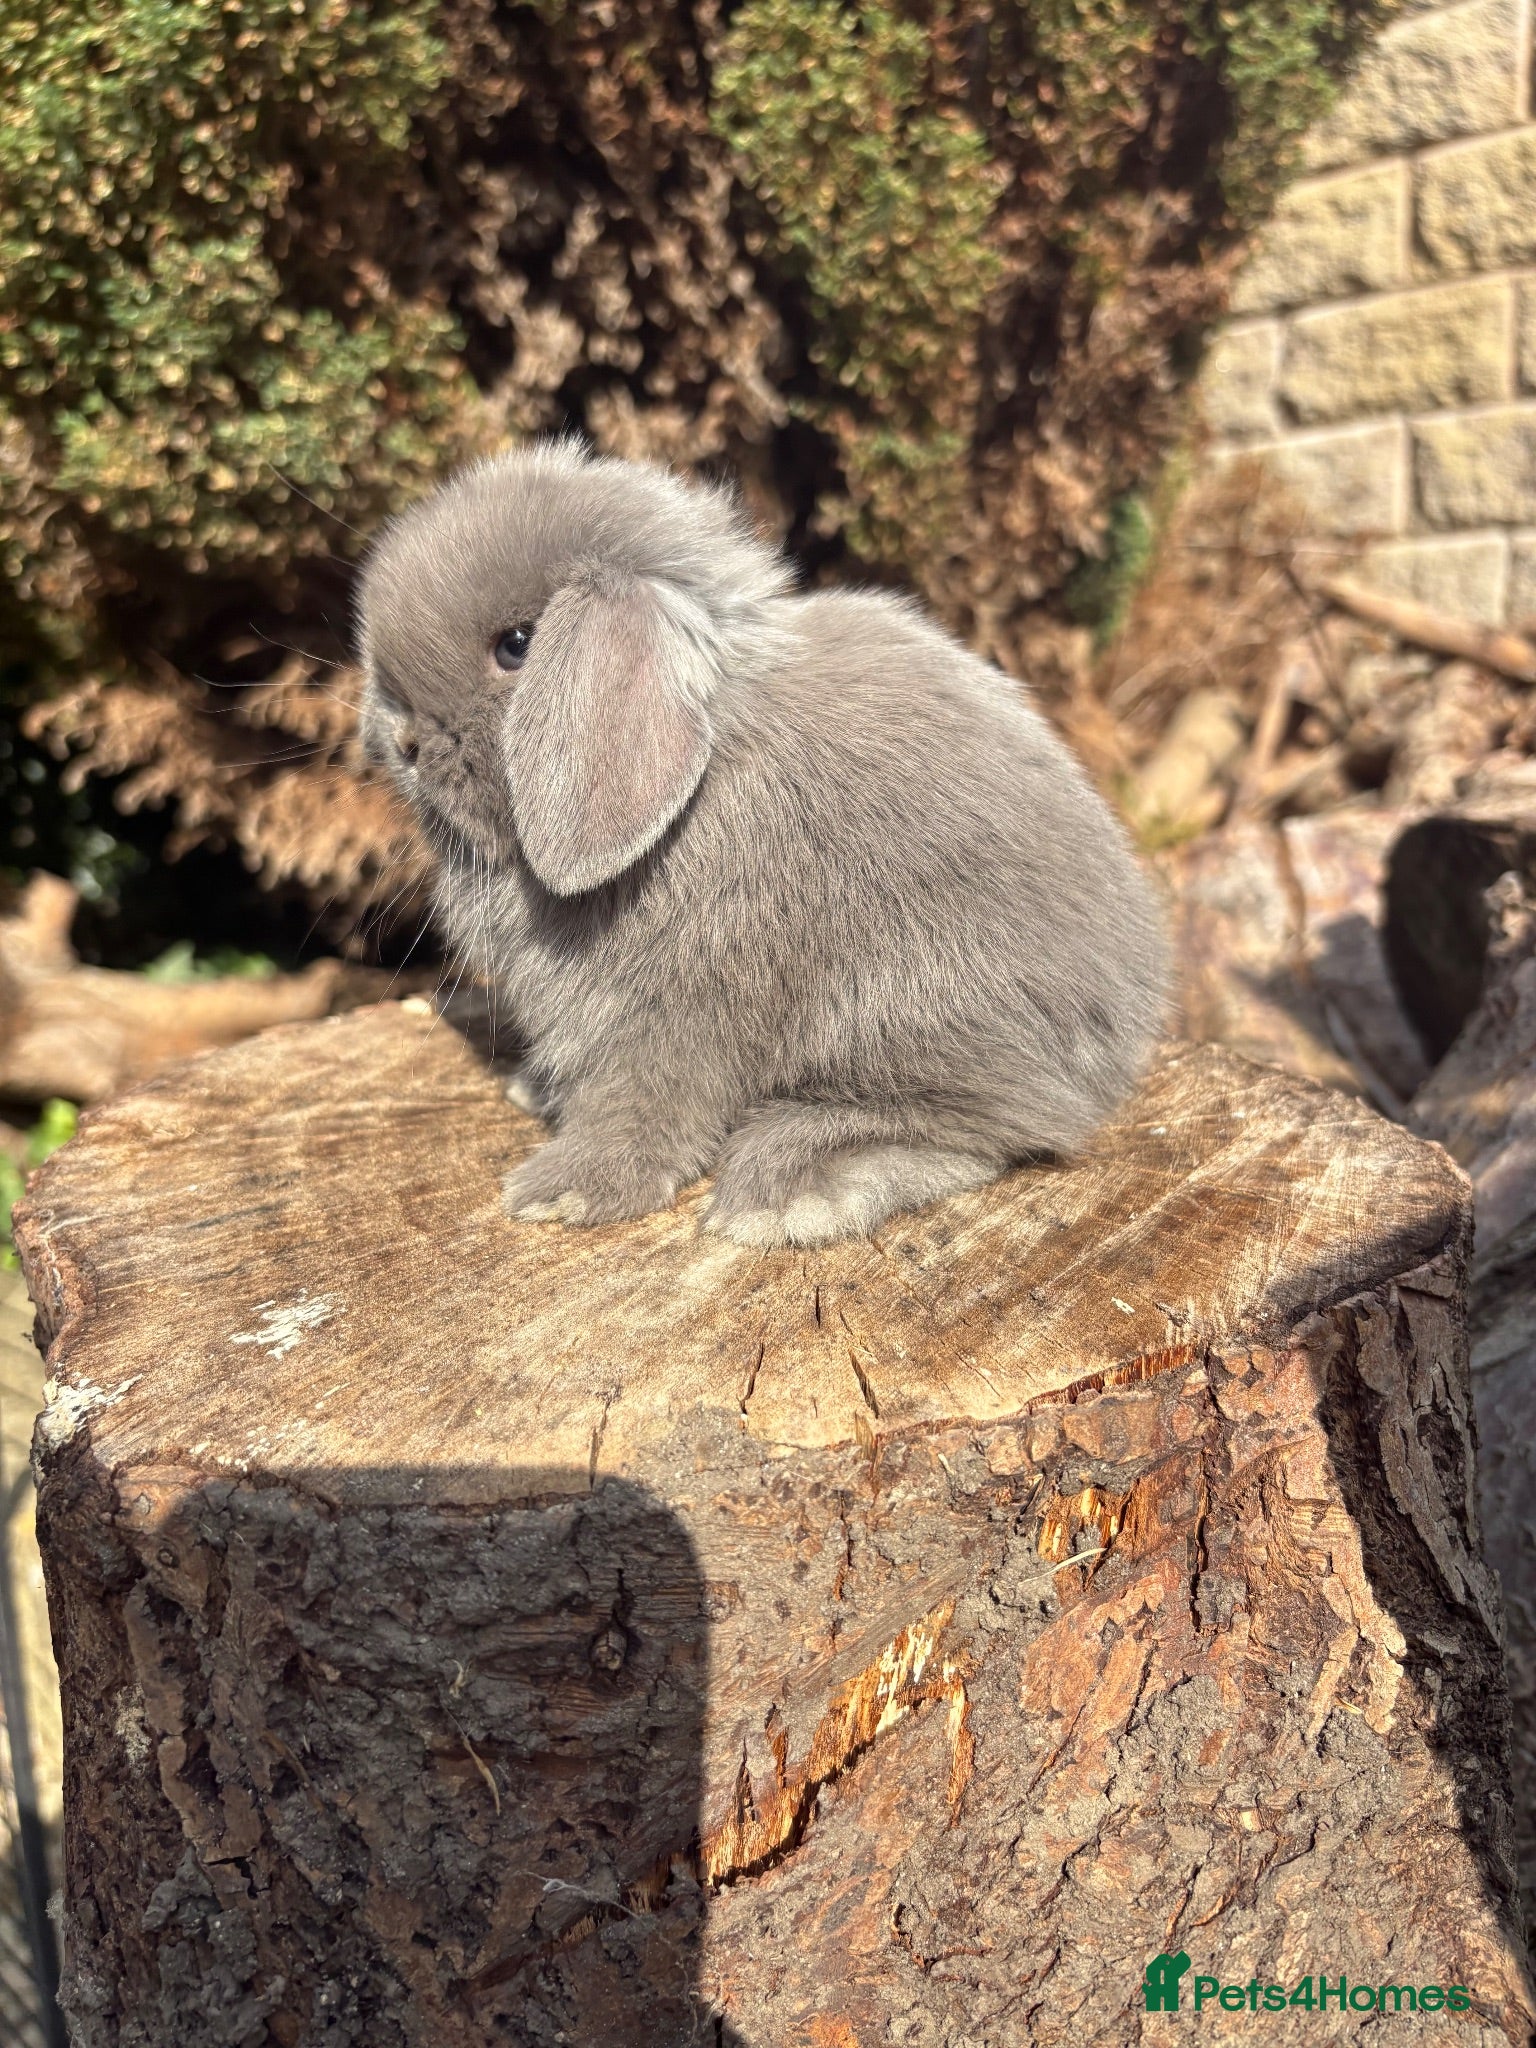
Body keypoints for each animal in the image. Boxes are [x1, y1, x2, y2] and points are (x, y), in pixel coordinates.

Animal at [356, 439, 1169, 1248]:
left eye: (517, 645)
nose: (402, 744)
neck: (697, 784)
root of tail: (1130, 1022)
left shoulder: (672, 1015)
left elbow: (641, 1107)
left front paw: (564, 1193)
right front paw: (537, 1097)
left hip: (914, 1007)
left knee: (1001, 1125)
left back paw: (789, 1191)